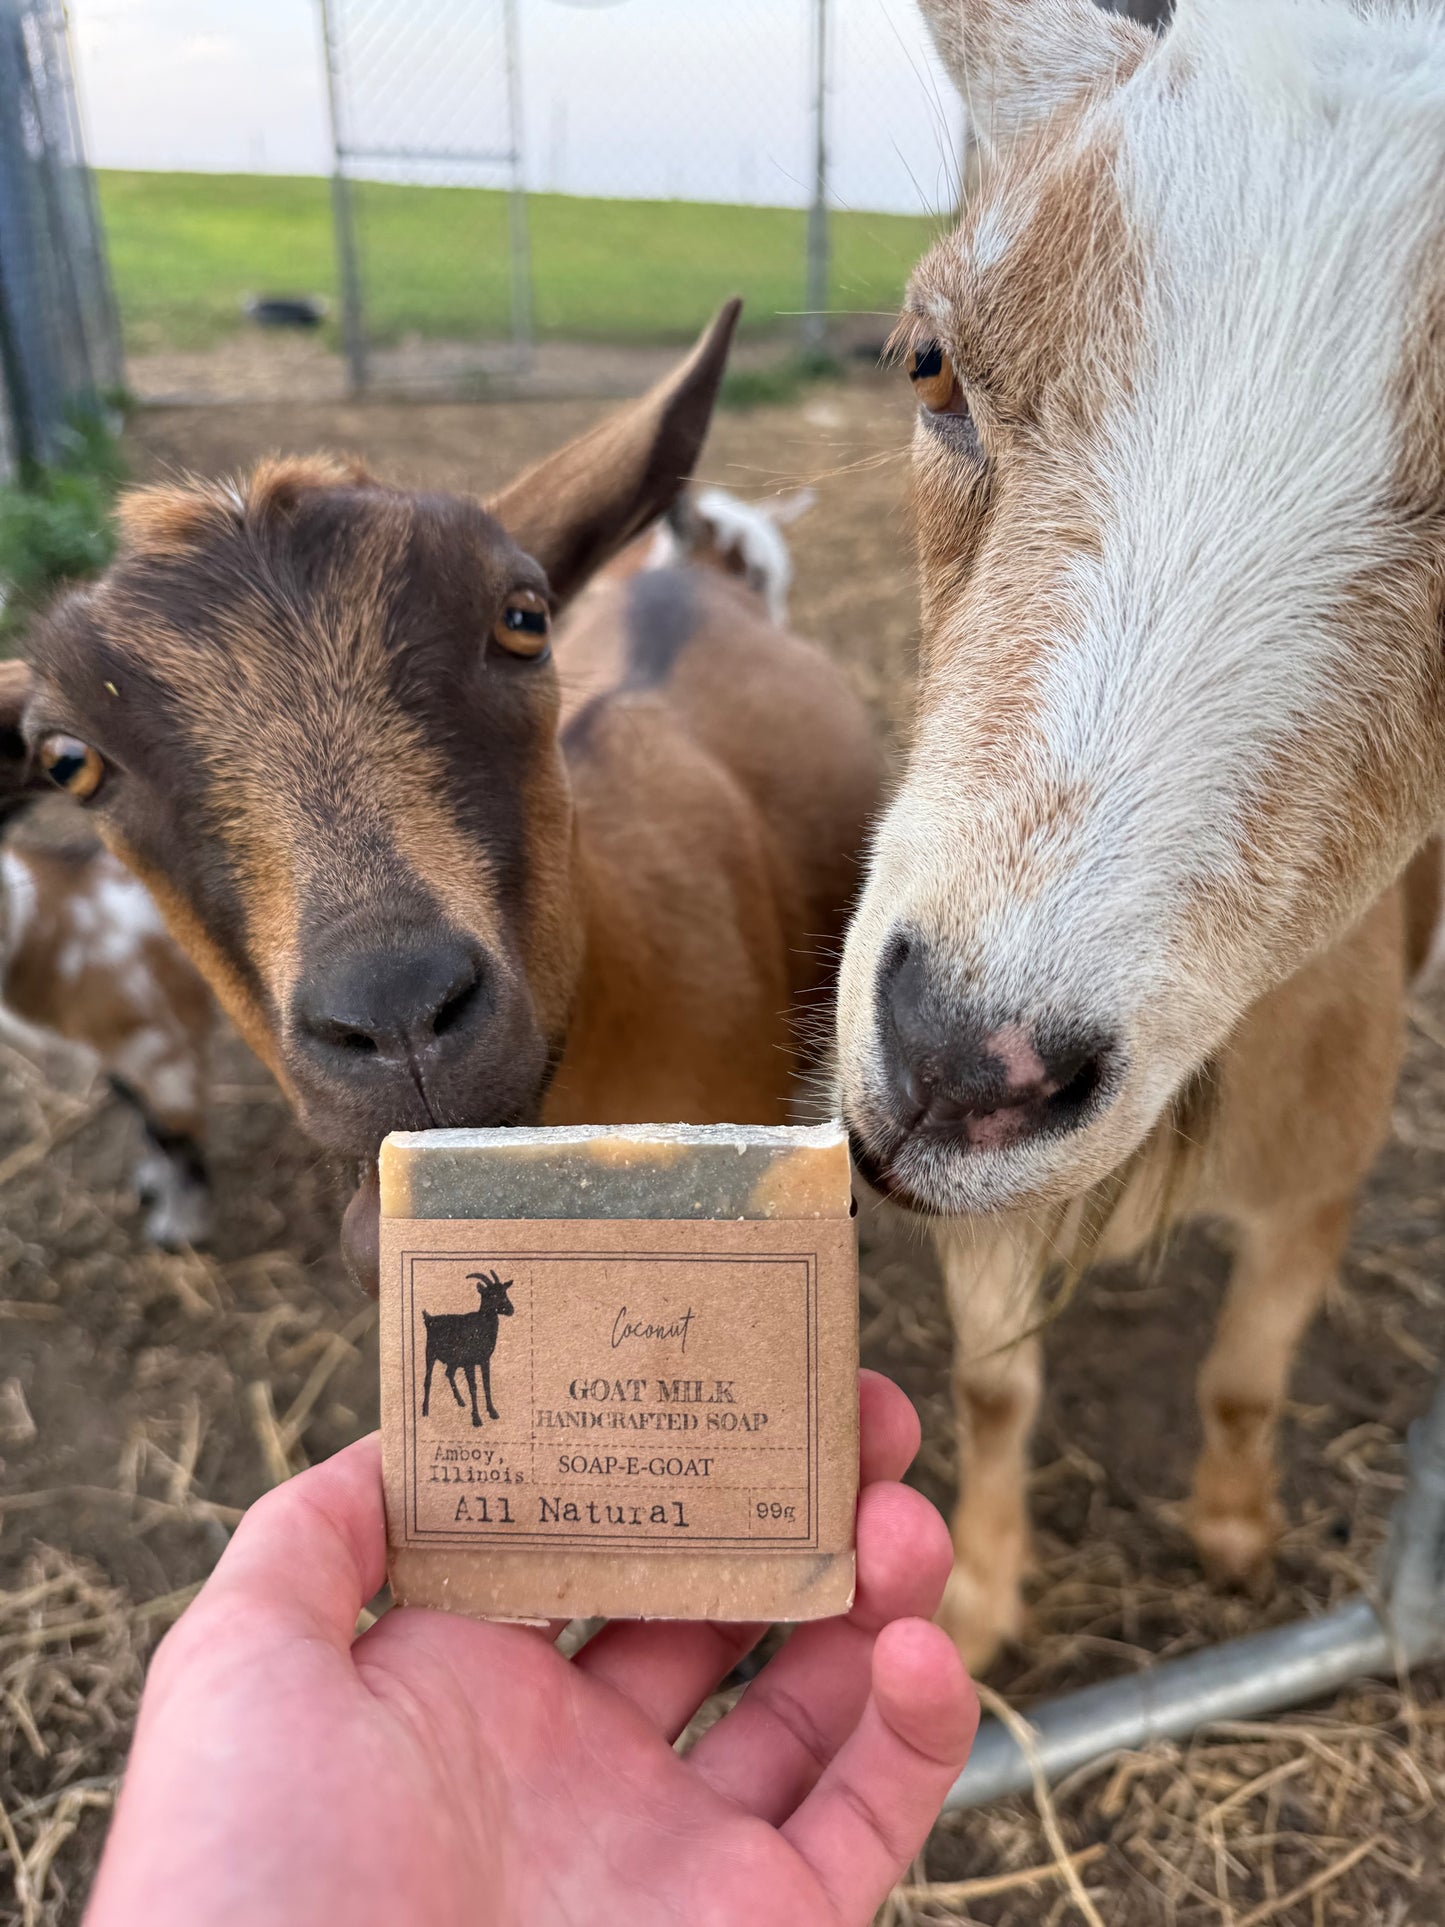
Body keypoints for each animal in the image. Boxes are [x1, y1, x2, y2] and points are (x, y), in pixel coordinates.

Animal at [421, 1270, 514, 1428]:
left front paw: (493, 1412)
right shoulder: (469, 1362)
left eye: (504, 1291)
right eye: (491, 1294)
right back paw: (425, 1411)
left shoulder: (484, 1360)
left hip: (453, 1360)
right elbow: (473, 1387)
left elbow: (486, 1384)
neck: (480, 1327)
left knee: (448, 1373)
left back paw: (461, 1401)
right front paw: (476, 1419)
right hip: (430, 1353)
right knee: (428, 1380)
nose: (510, 1310)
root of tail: (429, 1319)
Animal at [836, 0, 1445, 1668]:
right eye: (930, 363)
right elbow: (992, 1385)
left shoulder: (1319, 1172)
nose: (962, 1068)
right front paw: (978, 1596)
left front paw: (1233, 1534)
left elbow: (1244, 1369)